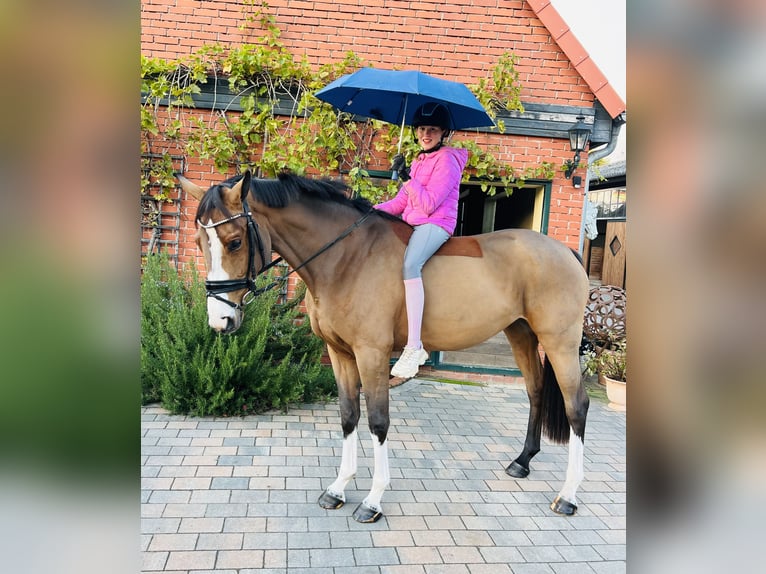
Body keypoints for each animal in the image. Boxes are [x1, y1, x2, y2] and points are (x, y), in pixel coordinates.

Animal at [178, 170, 590, 523]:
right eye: (199, 242)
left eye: (234, 242)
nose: (220, 321)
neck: (346, 258)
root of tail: (564, 251)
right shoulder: (340, 354)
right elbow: (348, 416)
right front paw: (338, 489)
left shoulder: (371, 353)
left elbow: (378, 421)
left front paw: (372, 500)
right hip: (520, 333)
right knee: (536, 390)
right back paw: (522, 462)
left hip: (560, 342)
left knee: (577, 406)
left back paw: (568, 496)